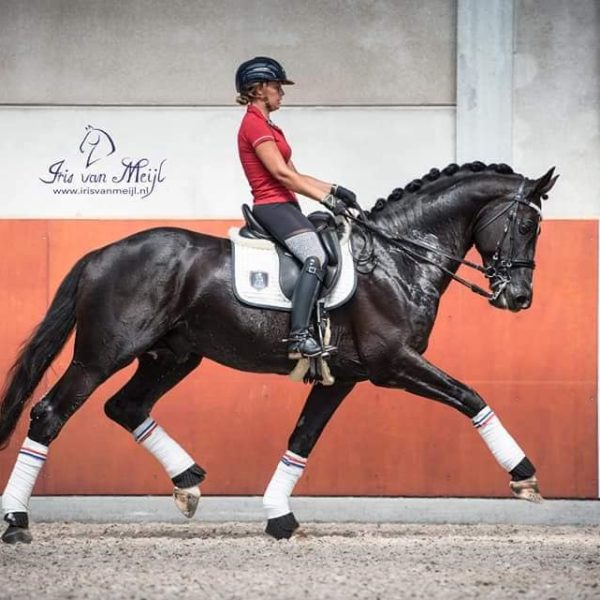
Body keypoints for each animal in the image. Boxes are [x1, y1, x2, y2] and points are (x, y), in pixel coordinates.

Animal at [0, 161, 556, 544]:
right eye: (527, 226)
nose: (519, 298)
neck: (397, 258)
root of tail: (101, 253)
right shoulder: (393, 363)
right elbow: (471, 397)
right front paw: (524, 475)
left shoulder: (345, 376)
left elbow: (302, 439)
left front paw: (280, 518)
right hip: (101, 355)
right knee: (50, 414)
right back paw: (16, 520)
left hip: (173, 356)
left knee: (126, 406)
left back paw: (188, 482)